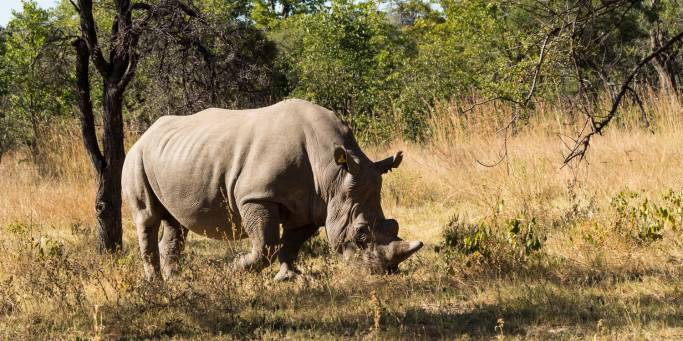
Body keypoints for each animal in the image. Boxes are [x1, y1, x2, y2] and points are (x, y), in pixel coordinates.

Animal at [122, 97, 422, 278]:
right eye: (360, 234)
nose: (383, 272)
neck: (332, 174)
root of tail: (145, 133)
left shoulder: (313, 205)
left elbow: (290, 243)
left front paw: (289, 277)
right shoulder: (257, 197)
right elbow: (267, 243)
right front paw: (235, 268)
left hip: (175, 156)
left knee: (176, 221)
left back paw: (175, 280)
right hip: (136, 156)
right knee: (147, 217)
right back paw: (155, 283)